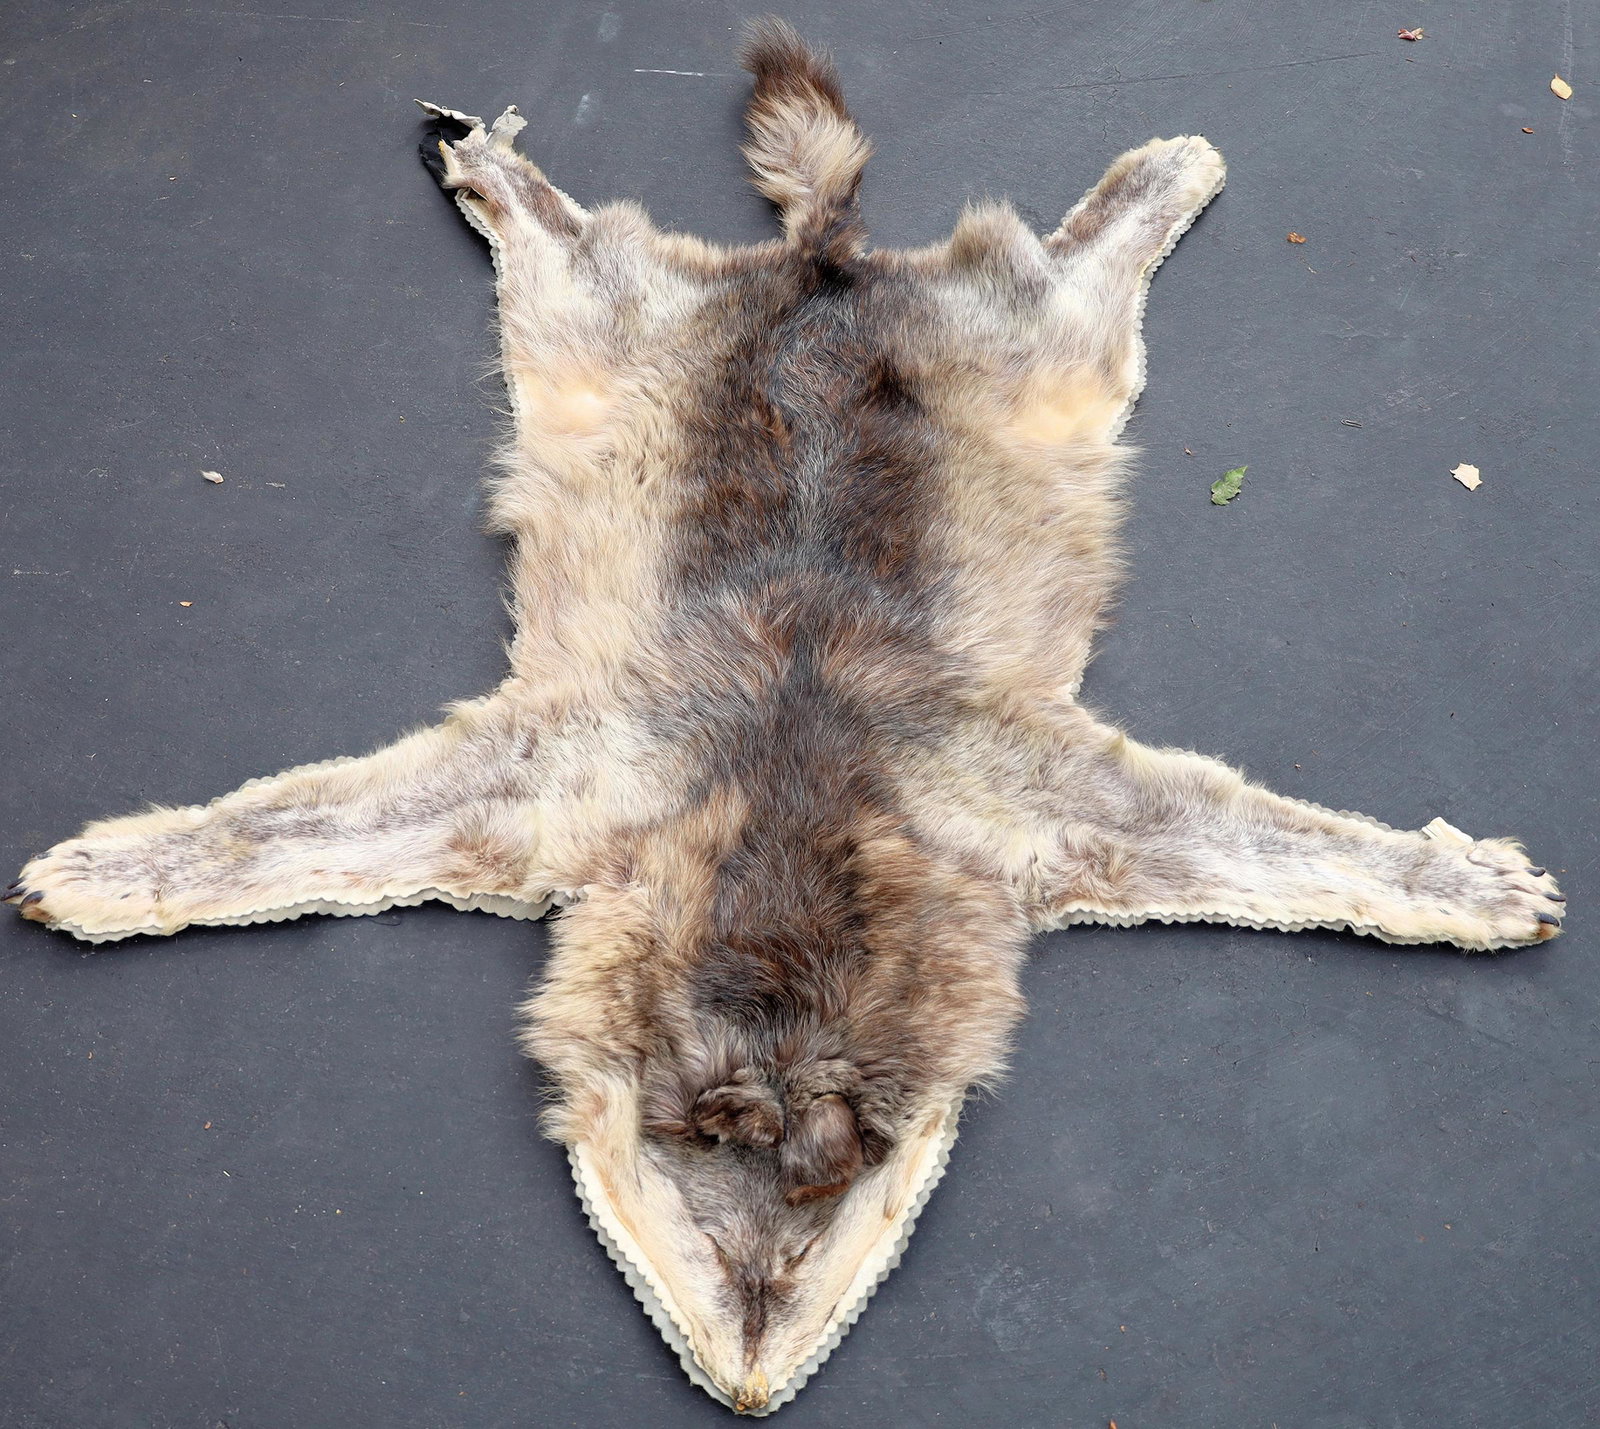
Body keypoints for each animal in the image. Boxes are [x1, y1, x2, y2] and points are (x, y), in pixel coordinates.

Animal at [7, 18, 1563, 1416]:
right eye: (701, 1169)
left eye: (835, 1185)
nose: (752, 1372)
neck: (788, 840)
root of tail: (825, 265)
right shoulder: (559, 778)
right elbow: (284, 832)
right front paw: (111, 870)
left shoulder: (1033, 797)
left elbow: (1280, 847)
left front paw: (1465, 884)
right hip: (619, 333)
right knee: (596, 250)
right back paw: (496, 170)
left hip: (1018, 361)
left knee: (1056, 275)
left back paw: (1161, 176)